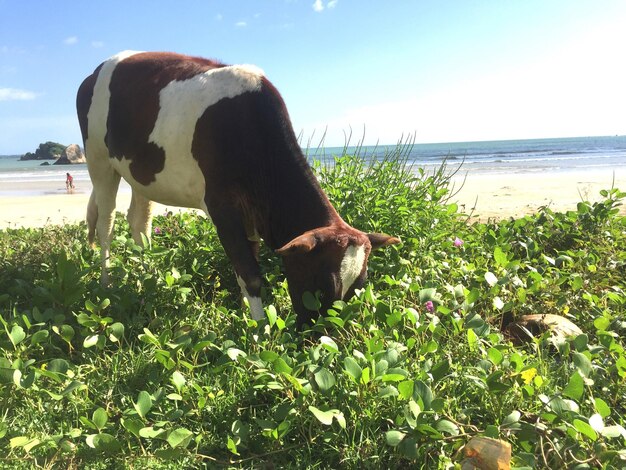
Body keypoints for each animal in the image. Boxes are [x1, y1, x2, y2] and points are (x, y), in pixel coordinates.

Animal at [75, 49, 398, 324]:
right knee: (106, 223)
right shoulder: (222, 205)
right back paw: (106, 282)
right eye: (323, 286)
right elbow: (250, 273)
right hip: (98, 158)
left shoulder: (250, 212)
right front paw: (259, 333)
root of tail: (96, 71)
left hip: (142, 174)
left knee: (139, 223)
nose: (322, 341)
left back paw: (146, 276)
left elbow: (246, 265)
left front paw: (245, 316)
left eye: (359, 286)